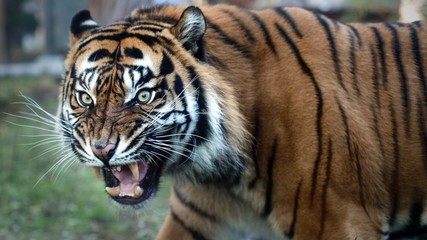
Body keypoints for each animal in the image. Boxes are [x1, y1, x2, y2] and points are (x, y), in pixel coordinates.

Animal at [60, 2, 427, 239]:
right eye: (85, 98)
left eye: (144, 96)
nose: (102, 150)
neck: (222, 173)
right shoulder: (195, 220)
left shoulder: (336, 219)